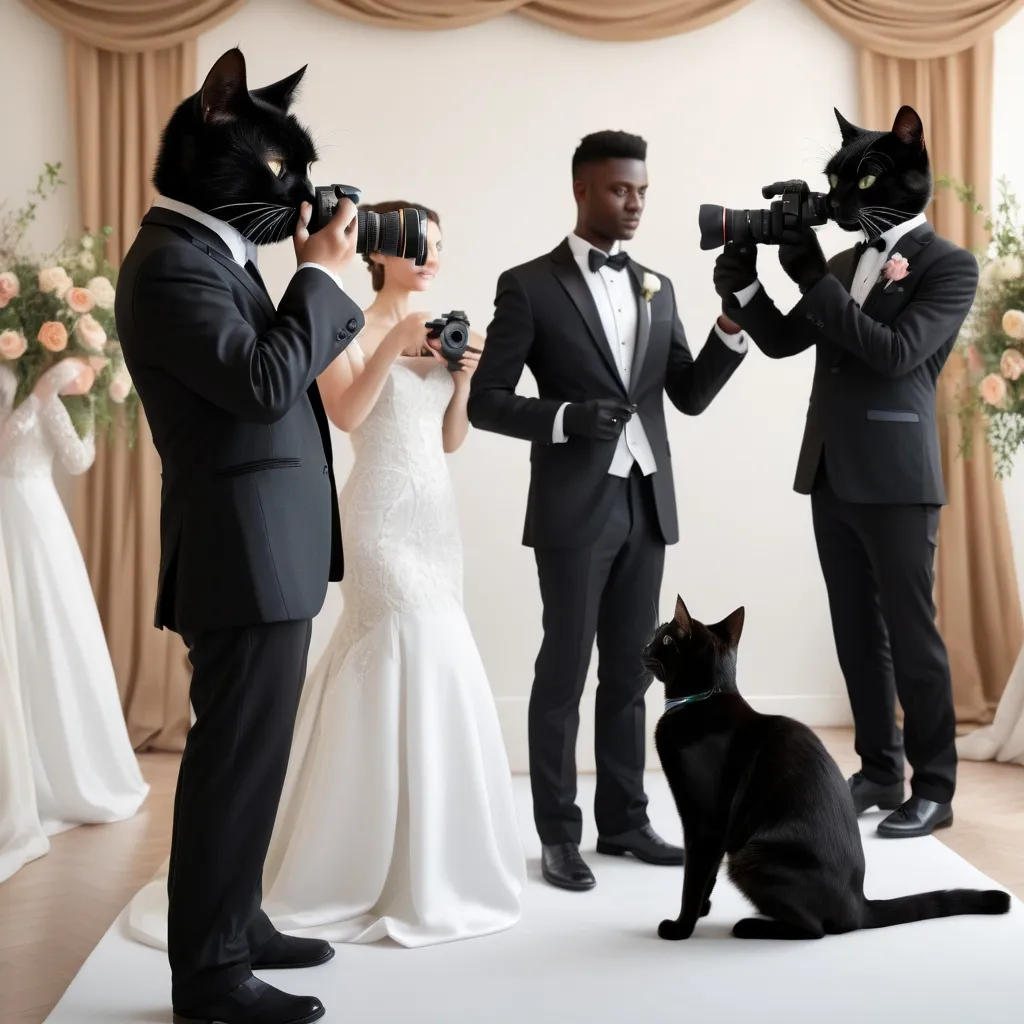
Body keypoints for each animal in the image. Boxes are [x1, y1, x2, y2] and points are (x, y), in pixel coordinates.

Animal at [643, 598, 1011, 937]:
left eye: (665, 638)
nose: (644, 645)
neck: (705, 698)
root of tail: (858, 904)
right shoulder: (714, 834)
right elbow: (706, 877)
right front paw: (703, 909)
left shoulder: (704, 824)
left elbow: (693, 877)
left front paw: (680, 927)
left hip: (749, 857)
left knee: (815, 929)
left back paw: (751, 926)